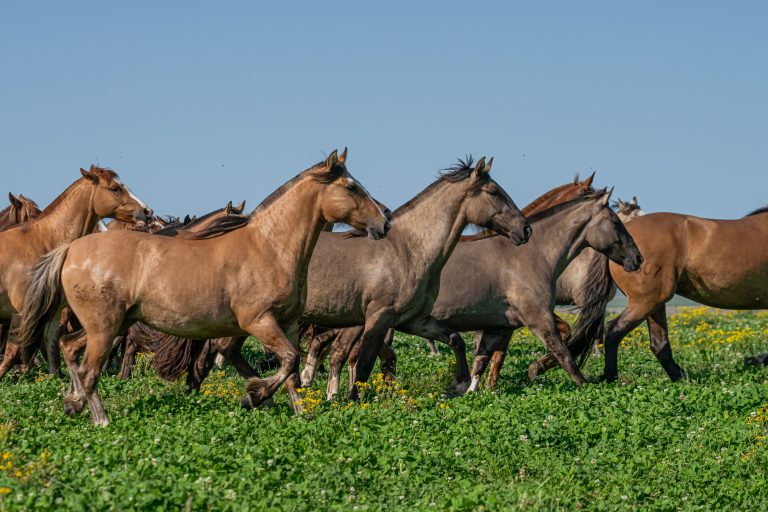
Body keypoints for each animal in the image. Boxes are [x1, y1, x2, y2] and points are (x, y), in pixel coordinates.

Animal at [0, 166, 152, 381]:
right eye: (114, 188)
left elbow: (52, 349)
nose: (147, 211)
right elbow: (13, 352)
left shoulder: (53, 313)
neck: (41, 244)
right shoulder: (20, 312)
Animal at [423, 190, 642, 388]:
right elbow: (565, 356)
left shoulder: (499, 326)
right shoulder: (538, 319)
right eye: (616, 221)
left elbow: (482, 361)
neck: (531, 256)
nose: (638, 258)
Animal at [595, 204, 768, 382]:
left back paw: (680, 377)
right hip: (645, 302)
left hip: (655, 304)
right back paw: (610, 377)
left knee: (659, 343)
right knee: (613, 331)